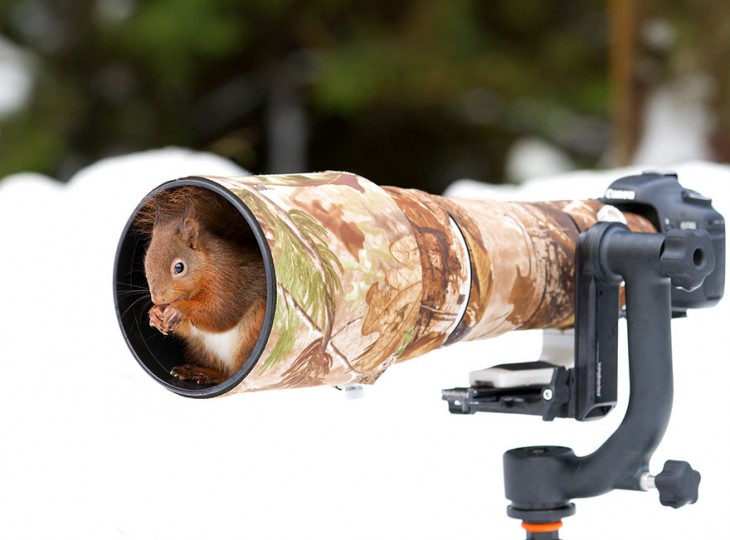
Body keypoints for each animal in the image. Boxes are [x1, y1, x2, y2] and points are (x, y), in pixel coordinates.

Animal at [135, 186, 266, 384]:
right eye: (146, 263)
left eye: (179, 267)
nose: (157, 298)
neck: (206, 265)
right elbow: (189, 328)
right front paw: (155, 314)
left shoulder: (228, 279)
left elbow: (220, 312)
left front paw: (179, 309)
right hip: (203, 347)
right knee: (224, 371)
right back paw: (201, 373)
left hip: (252, 332)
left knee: (234, 372)